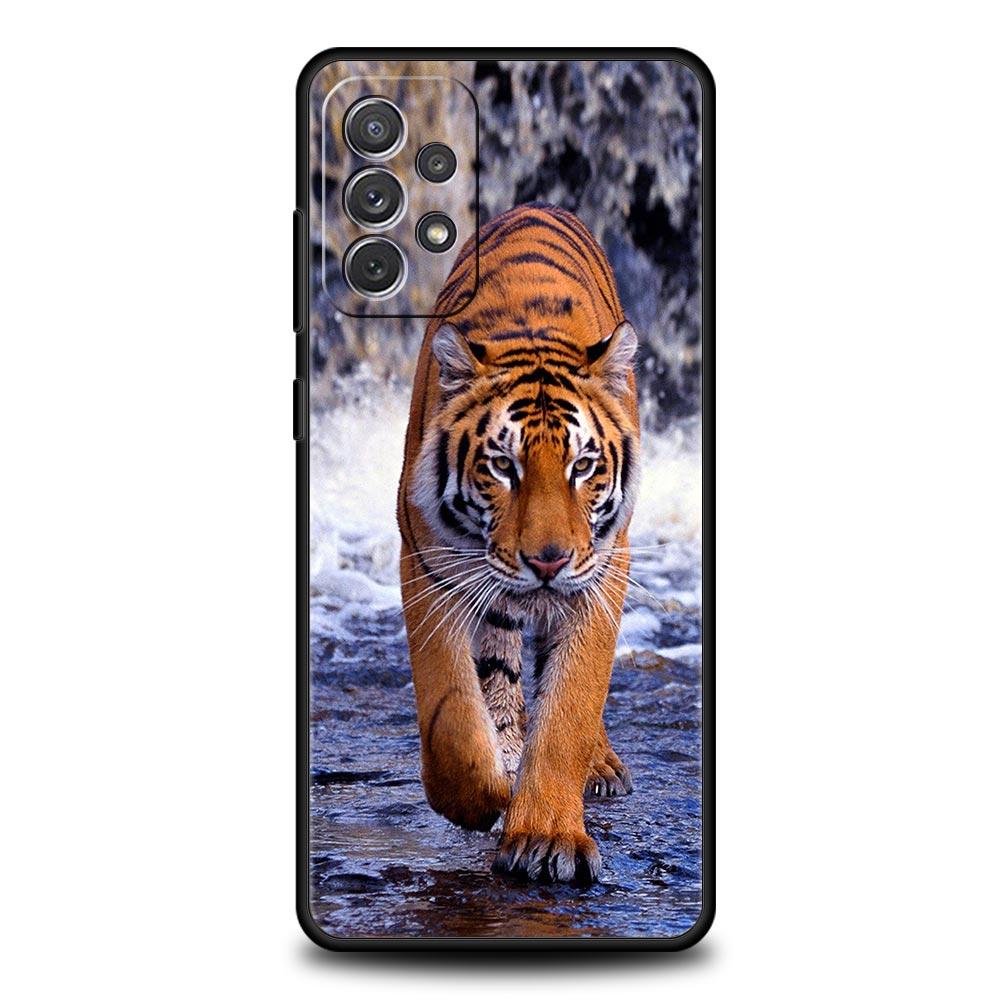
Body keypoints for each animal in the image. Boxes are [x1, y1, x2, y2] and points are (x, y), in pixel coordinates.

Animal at [396, 203, 640, 885]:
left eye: (583, 466)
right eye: (503, 466)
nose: (548, 561)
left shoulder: (601, 573)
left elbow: (570, 706)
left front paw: (546, 837)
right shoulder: (429, 565)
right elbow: (452, 711)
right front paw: (481, 798)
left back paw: (599, 767)